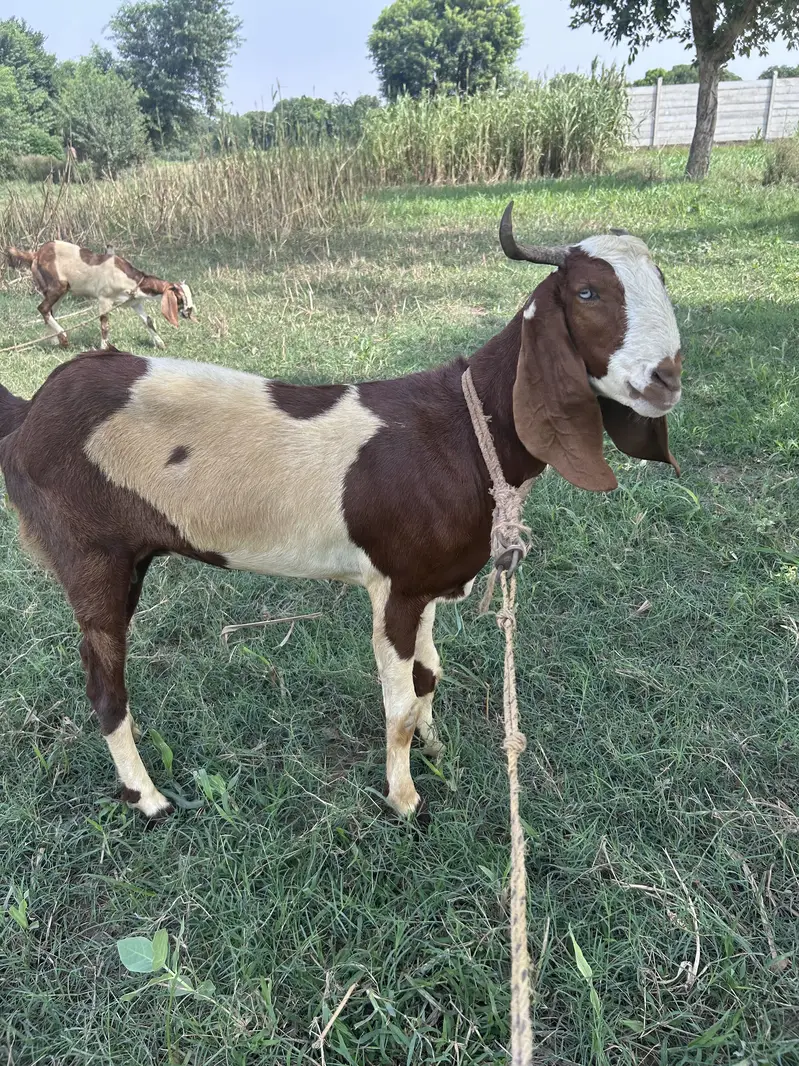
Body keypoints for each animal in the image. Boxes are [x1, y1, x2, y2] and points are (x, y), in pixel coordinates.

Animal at [6, 241, 195, 351]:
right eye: (180, 297)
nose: (189, 312)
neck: (133, 281)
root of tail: (35, 255)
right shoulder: (105, 298)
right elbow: (105, 324)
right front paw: (104, 348)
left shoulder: (134, 303)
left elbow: (148, 320)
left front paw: (160, 343)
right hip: (58, 285)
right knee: (43, 308)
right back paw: (64, 339)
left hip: (58, 291)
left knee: (50, 311)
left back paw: (53, 340)